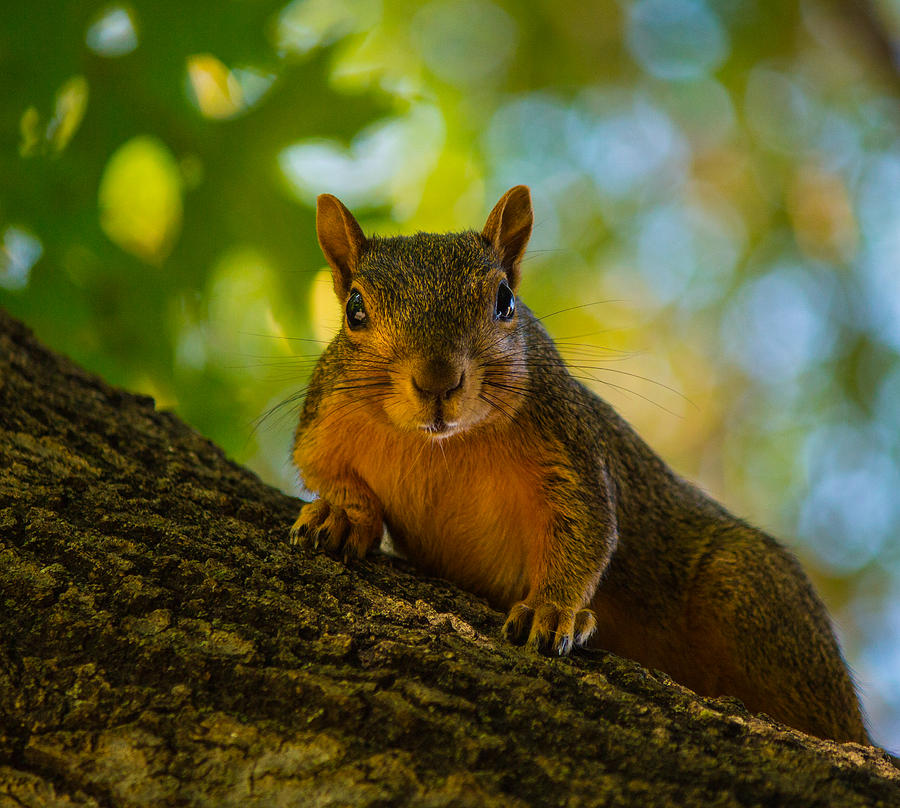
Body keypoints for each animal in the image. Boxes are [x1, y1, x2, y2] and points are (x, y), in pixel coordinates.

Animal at [288, 183, 872, 744]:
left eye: (505, 300)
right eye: (355, 310)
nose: (438, 381)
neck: (440, 446)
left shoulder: (566, 444)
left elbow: (585, 530)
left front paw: (552, 609)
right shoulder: (323, 420)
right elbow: (319, 469)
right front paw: (343, 513)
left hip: (750, 593)